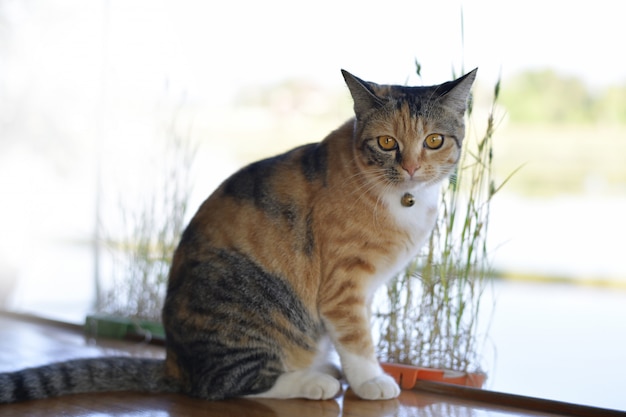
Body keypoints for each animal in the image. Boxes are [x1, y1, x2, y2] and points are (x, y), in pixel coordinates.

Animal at [0, 66, 472, 402]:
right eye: (387, 142)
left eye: (433, 140)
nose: (412, 167)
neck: (402, 197)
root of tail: (174, 363)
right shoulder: (344, 286)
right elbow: (357, 339)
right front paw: (371, 381)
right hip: (256, 305)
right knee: (224, 386)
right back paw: (312, 382)